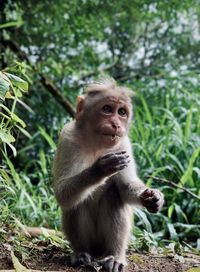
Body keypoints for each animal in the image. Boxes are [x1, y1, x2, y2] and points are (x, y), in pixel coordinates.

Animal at [53, 77, 164, 272]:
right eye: (107, 109)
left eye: (122, 112)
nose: (116, 124)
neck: (96, 143)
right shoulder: (68, 138)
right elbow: (62, 193)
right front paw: (100, 169)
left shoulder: (124, 145)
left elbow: (126, 188)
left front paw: (154, 197)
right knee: (76, 203)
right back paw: (81, 254)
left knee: (114, 195)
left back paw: (115, 257)